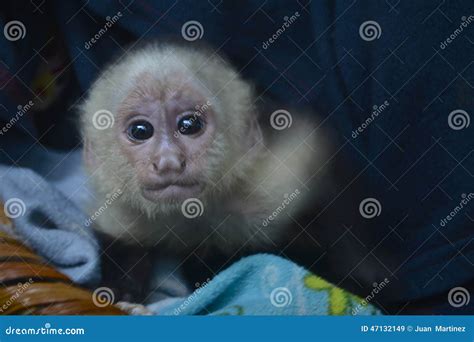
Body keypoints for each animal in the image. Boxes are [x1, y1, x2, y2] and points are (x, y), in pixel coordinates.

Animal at [79, 42, 380, 310]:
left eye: (190, 124)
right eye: (140, 130)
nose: (168, 162)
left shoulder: (284, 173)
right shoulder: (126, 209)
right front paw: (121, 289)